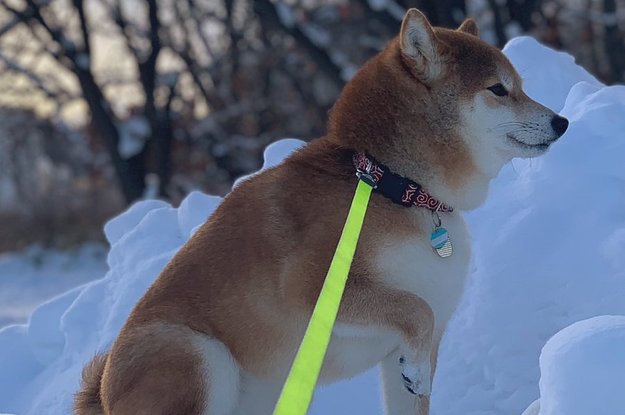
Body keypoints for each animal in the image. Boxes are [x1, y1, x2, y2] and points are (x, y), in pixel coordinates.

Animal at [75, 7, 568, 415]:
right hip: (193, 354)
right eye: (499, 89)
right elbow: (415, 308)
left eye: (520, 86)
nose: (561, 122)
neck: (394, 186)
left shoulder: (413, 347)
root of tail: (102, 394)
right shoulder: (315, 289)